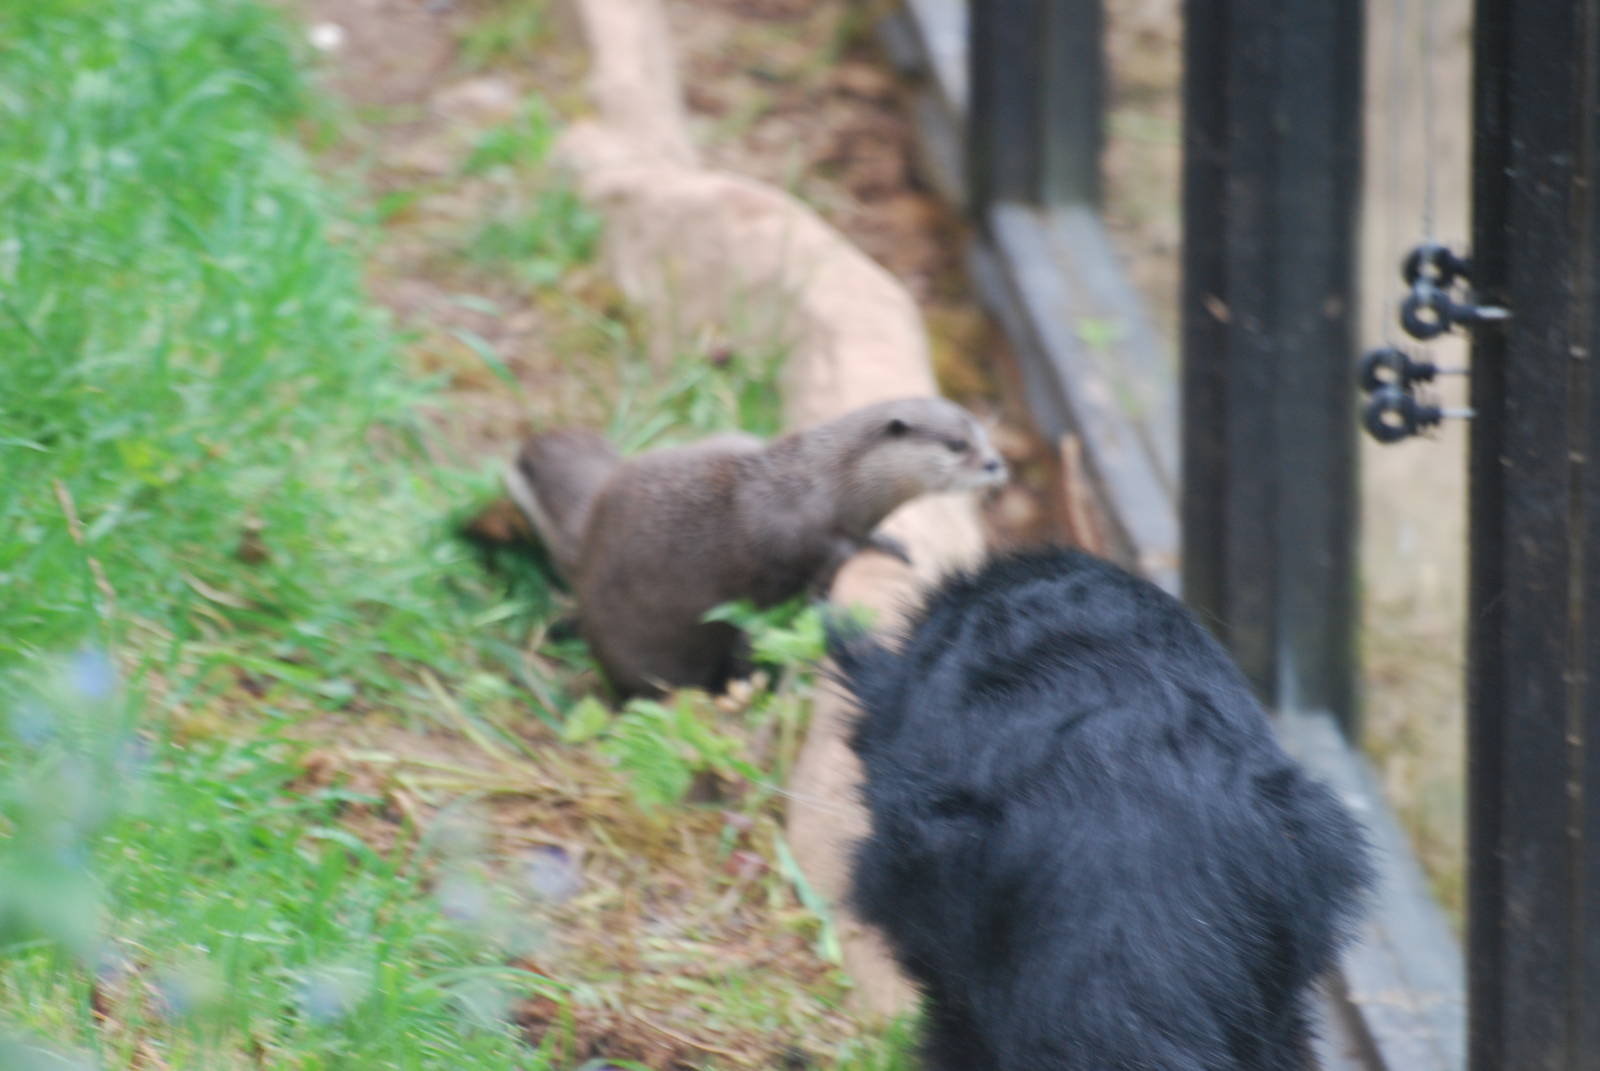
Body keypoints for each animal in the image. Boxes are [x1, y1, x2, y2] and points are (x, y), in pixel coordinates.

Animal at [505, 398, 1005, 698]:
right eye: (957, 444)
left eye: (985, 437)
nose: (996, 464)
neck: (832, 485)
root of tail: (589, 533)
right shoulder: (785, 527)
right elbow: (816, 562)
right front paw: (858, 552)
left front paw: (882, 538)